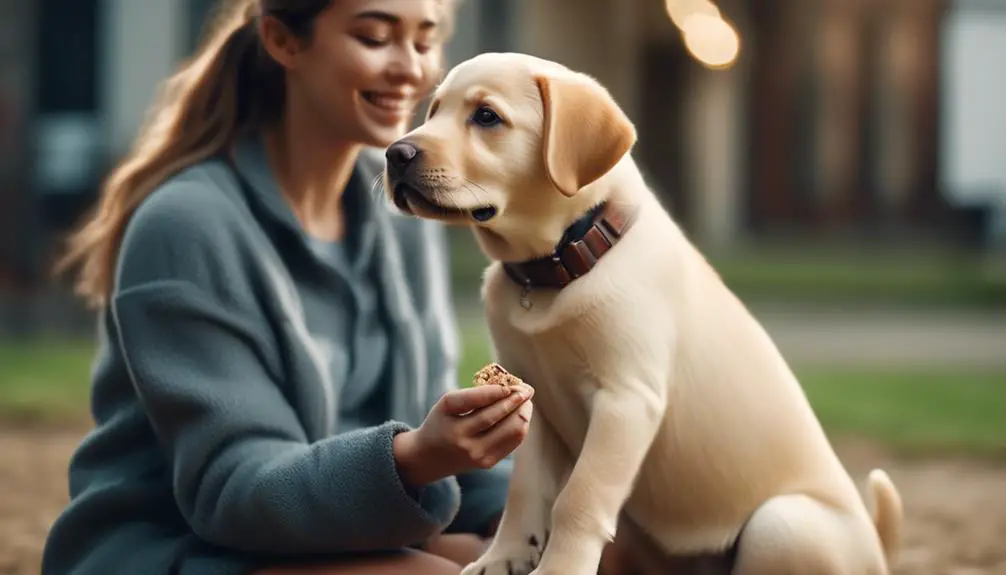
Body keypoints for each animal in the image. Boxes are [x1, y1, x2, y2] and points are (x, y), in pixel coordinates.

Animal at [382, 52, 905, 575]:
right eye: (433, 111)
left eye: (487, 116)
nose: (395, 154)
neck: (554, 269)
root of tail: (878, 551)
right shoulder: (534, 401)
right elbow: (526, 491)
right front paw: (503, 557)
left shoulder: (627, 399)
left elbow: (578, 499)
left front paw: (559, 569)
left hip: (780, 524)